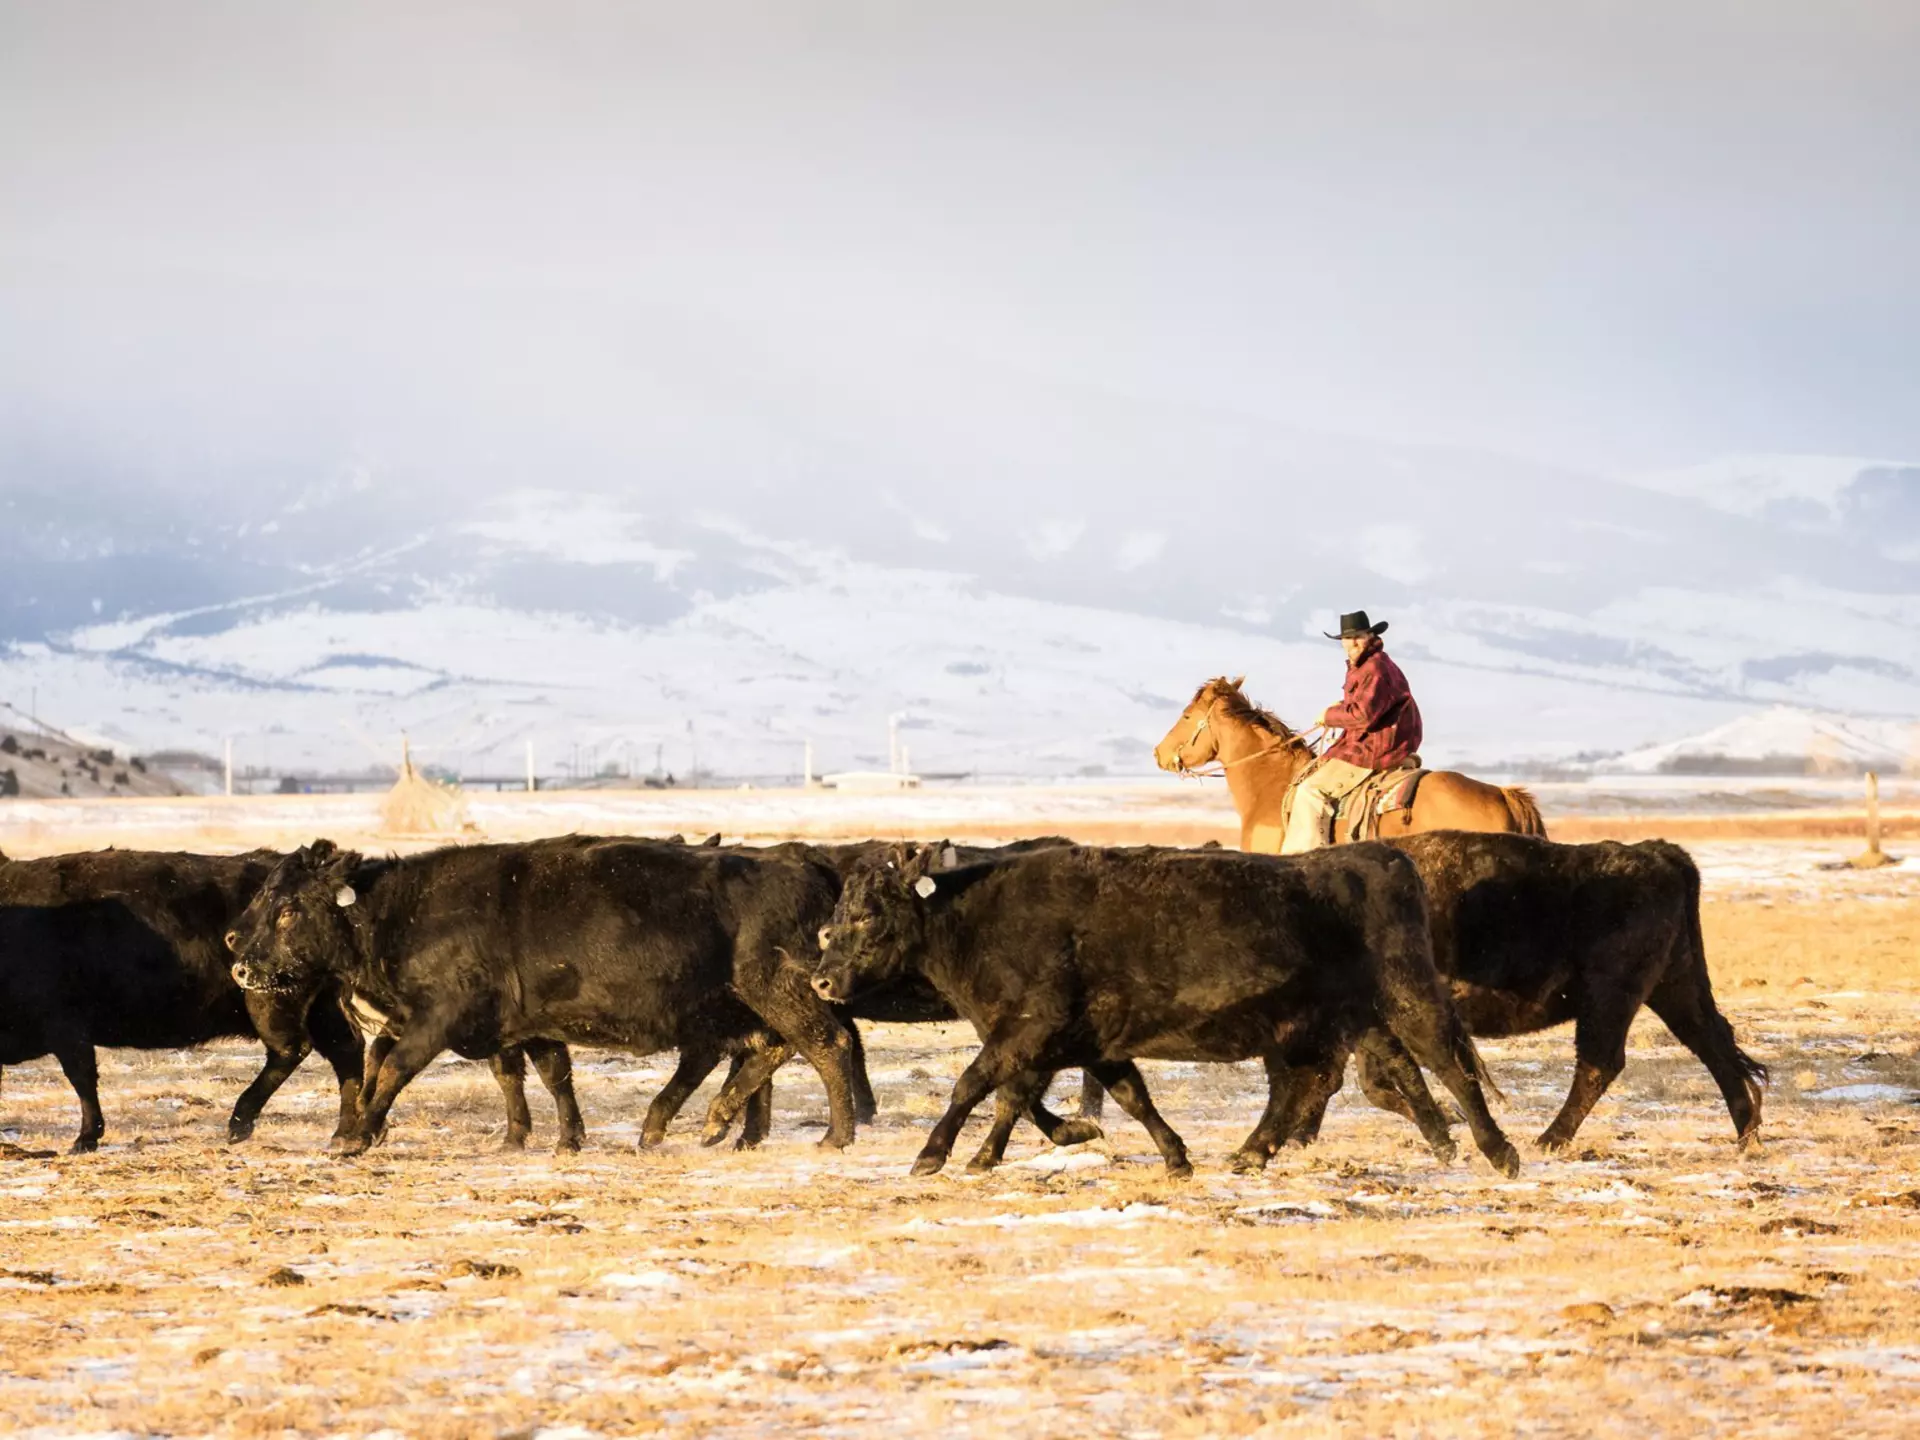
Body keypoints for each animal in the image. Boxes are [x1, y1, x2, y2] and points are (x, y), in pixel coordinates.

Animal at [0, 848, 365, 1153]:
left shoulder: (66, 1028)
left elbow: (83, 1080)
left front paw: (85, 1139)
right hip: (322, 1010)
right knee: (345, 1052)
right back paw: (347, 1134)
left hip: (270, 1004)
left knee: (293, 1049)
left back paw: (240, 1123)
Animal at [225, 835, 865, 1156]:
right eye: (262, 895)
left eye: (288, 908)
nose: (240, 963)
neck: (402, 911)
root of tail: (798, 860)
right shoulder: (523, 1022)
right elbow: (544, 1075)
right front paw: (550, 1138)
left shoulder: (438, 1018)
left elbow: (393, 1068)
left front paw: (357, 1136)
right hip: (746, 1002)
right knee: (763, 1051)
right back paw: (706, 1124)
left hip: (776, 989)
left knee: (824, 1043)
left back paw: (834, 1135)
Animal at [811, 841, 1519, 1178]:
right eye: (839, 909)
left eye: (867, 913)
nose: (821, 980)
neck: (974, 919)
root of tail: (1383, 856)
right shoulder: (1083, 1040)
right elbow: (1115, 1096)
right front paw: (1168, 1154)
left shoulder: (1028, 1029)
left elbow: (977, 1085)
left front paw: (934, 1155)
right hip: (1311, 1026)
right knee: (1304, 1085)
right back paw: (1251, 1152)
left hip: (1407, 999)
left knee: (1451, 1068)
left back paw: (1499, 1152)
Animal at [1287, 832, 1766, 1152]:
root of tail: (1657, 853)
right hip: (1673, 986)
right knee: (1713, 1045)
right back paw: (1747, 1136)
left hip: (1612, 996)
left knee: (1600, 1063)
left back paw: (1548, 1140)